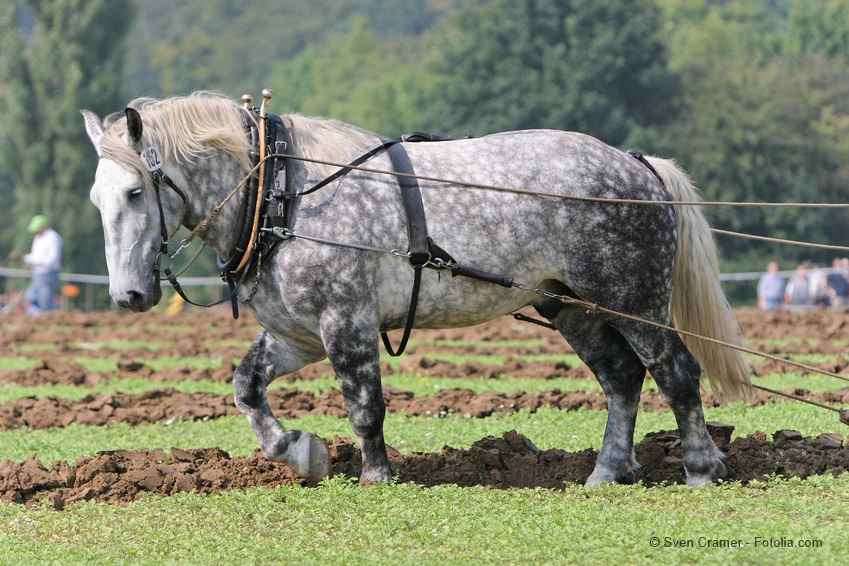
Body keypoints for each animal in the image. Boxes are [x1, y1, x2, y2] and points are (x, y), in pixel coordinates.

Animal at [81, 92, 749, 487]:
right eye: (97, 197)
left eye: (136, 191)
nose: (129, 297)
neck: (281, 191)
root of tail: (636, 163)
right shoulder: (298, 335)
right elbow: (247, 387)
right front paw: (296, 449)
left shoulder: (345, 321)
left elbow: (364, 405)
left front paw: (375, 476)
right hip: (571, 307)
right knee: (621, 379)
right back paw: (606, 472)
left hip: (634, 300)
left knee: (675, 372)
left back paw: (700, 466)